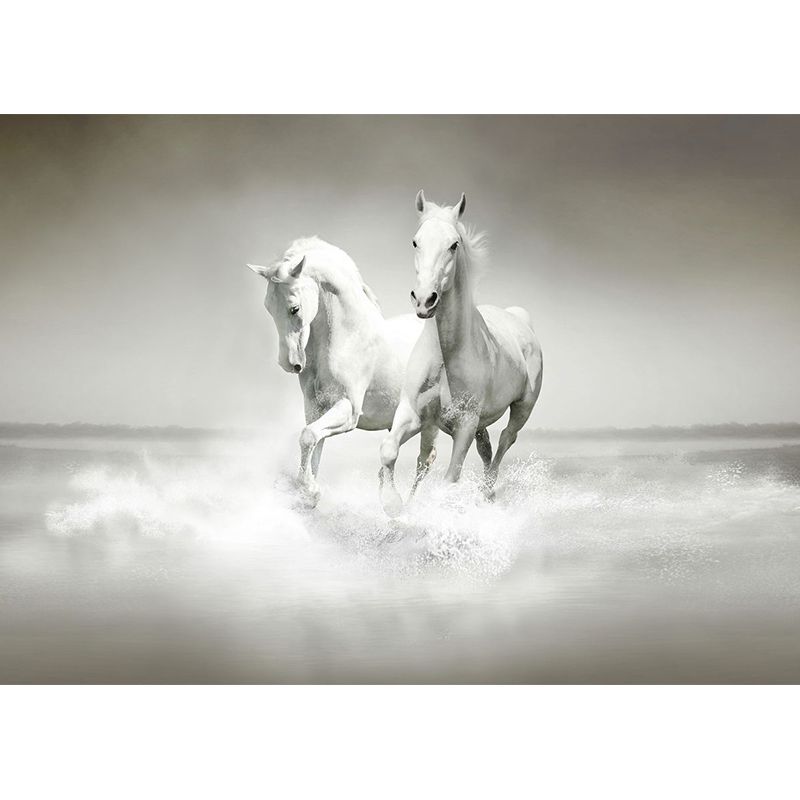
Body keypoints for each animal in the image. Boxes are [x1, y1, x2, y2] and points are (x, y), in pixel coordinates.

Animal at [247, 236, 429, 506]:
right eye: (268, 308)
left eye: (294, 308)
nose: (288, 364)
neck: (347, 337)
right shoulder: (316, 409)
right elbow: (313, 442)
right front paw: (308, 492)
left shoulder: (348, 409)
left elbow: (308, 436)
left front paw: (309, 490)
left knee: (427, 461)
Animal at [378, 192, 543, 517]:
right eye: (415, 241)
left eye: (454, 244)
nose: (424, 299)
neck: (446, 355)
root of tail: (519, 318)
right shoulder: (413, 412)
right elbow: (390, 450)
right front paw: (393, 503)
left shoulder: (464, 424)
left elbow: (450, 477)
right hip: (477, 423)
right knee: (483, 448)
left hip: (522, 407)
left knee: (506, 440)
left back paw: (487, 492)